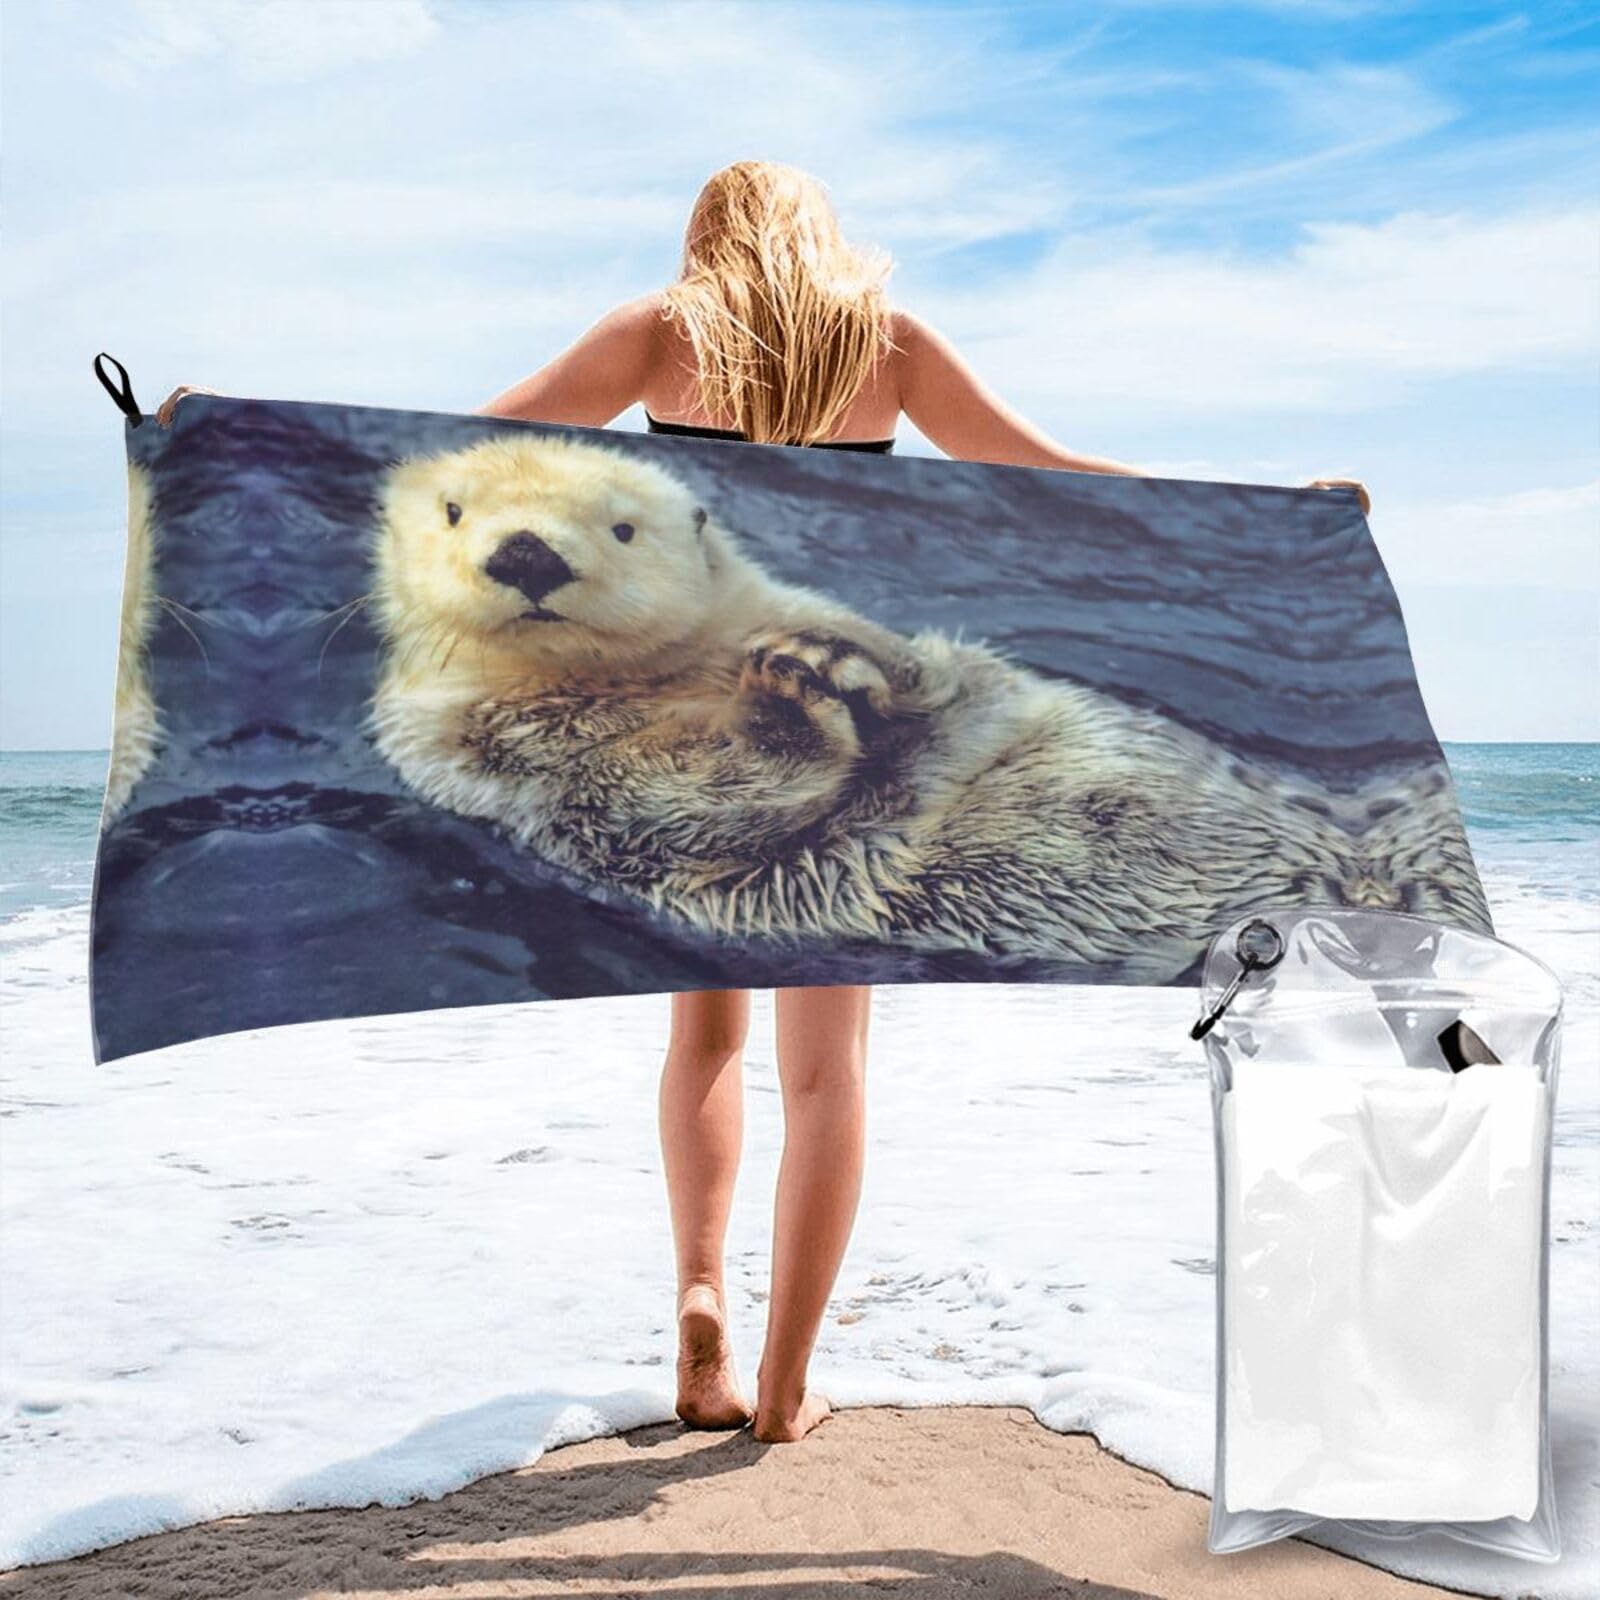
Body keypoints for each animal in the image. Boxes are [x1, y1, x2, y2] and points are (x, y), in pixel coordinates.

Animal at [369, 433, 1486, 979]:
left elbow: (927, 673)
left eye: (622, 527)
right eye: (455, 512)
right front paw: (790, 698)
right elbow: (686, 799)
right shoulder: (515, 766)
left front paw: (835, 663)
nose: (526, 554)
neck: (679, 677)